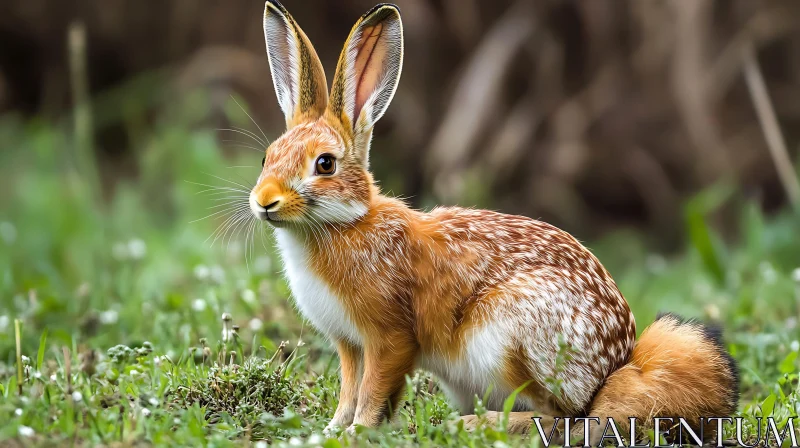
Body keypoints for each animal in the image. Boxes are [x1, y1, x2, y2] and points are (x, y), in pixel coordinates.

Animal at [248, 0, 736, 440]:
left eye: (325, 164)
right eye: (267, 157)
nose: (265, 201)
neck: (344, 224)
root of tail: (612, 368)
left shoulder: (390, 337)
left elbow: (373, 391)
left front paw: (357, 431)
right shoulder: (349, 345)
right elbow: (350, 389)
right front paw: (332, 428)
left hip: (509, 340)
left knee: (562, 419)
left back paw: (470, 425)